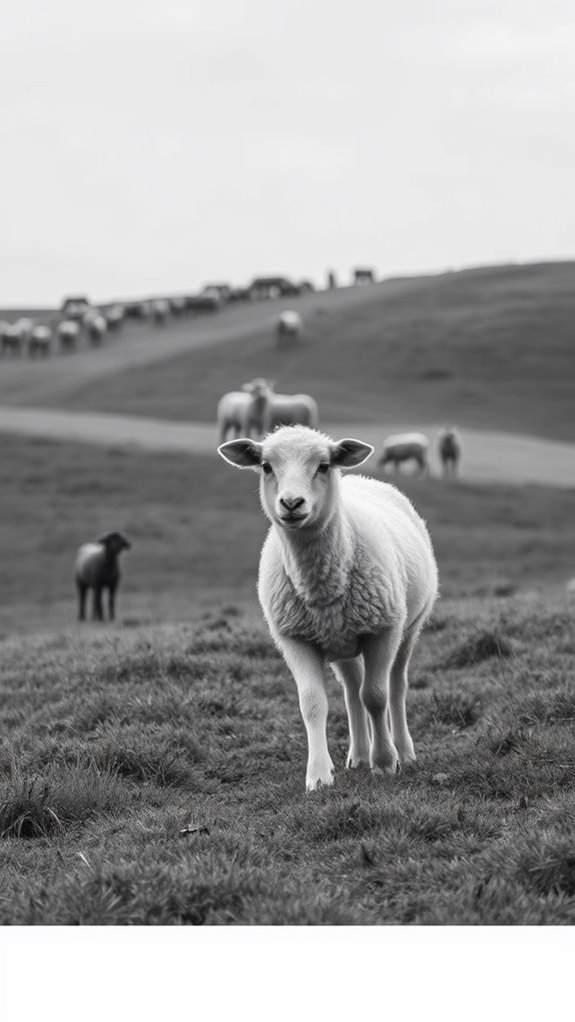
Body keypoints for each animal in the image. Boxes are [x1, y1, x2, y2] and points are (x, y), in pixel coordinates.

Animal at [218, 425, 438, 792]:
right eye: (266, 466)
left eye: (323, 466)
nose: (291, 503)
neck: (321, 584)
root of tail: (361, 477)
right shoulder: (294, 639)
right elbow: (312, 704)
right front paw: (319, 776)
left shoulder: (384, 631)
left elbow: (376, 696)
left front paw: (385, 763)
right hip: (341, 642)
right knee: (352, 691)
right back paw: (358, 755)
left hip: (409, 628)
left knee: (395, 686)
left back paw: (403, 752)